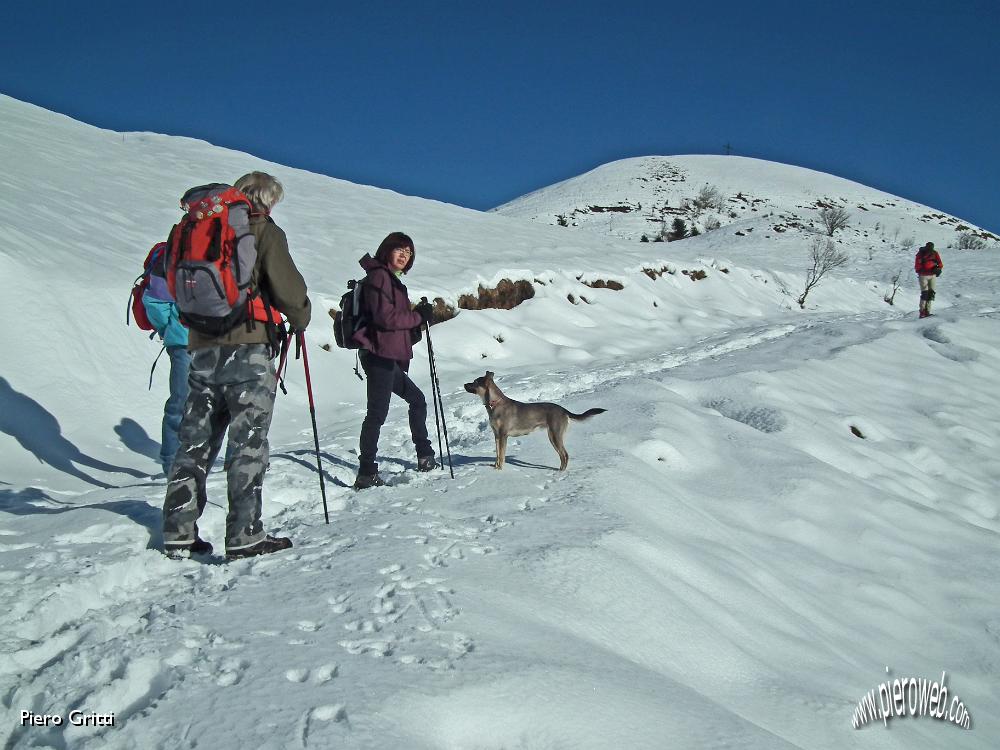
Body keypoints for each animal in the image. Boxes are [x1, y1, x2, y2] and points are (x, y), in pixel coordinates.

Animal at [464, 374, 604, 472]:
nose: (464, 384)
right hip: (553, 436)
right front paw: (495, 467)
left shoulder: (503, 435)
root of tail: (564, 410)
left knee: (565, 455)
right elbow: (498, 454)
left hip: (555, 435)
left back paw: (560, 473)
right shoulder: (497, 435)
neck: (494, 405)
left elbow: (502, 455)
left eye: (475, 382)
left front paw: (499, 470)